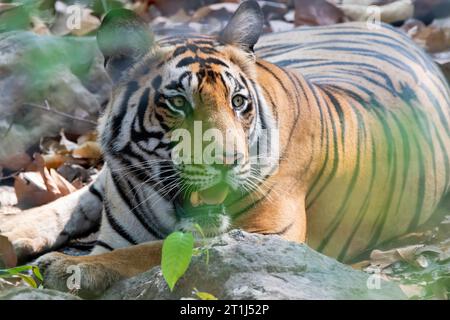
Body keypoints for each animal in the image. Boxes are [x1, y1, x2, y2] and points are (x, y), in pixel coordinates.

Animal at [0, 0, 448, 296]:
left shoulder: (267, 236)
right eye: (177, 102)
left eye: (238, 102)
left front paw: (70, 267)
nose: (229, 163)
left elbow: (156, 250)